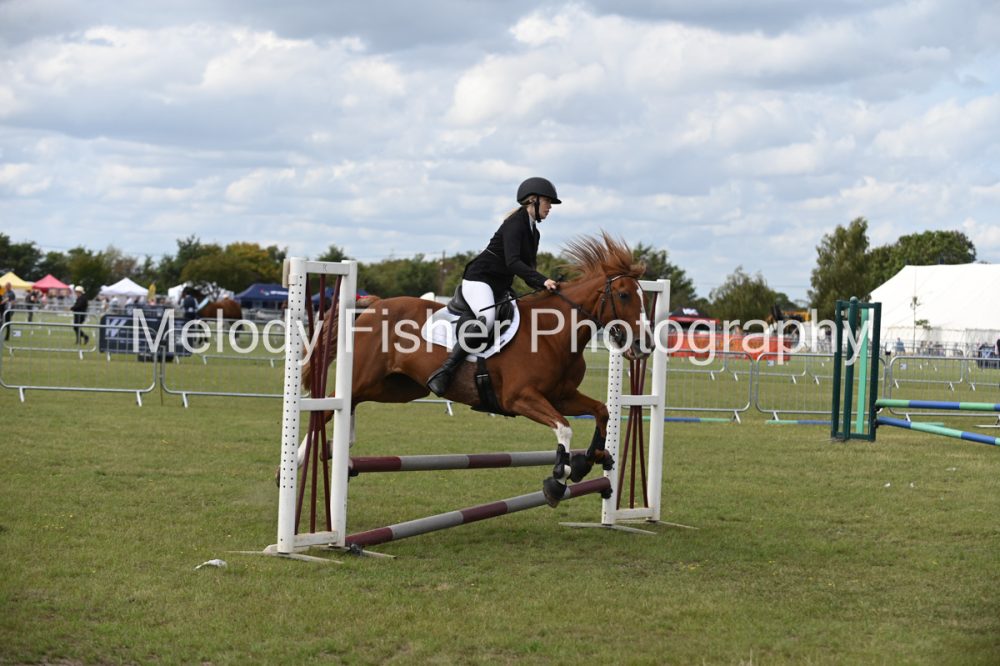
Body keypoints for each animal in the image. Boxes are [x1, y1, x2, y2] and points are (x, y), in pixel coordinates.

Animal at [301, 232, 652, 505]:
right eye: (623, 295)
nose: (644, 344)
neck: (551, 334)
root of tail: (374, 305)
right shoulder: (520, 398)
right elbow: (564, 428)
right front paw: (558, 477)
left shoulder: (561, 395)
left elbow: (601, 411)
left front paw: (588, 461)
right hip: (365, 377)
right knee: (330, 404)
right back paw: (298, 460)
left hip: (395, 387)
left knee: (351, 403)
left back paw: (339, 448)